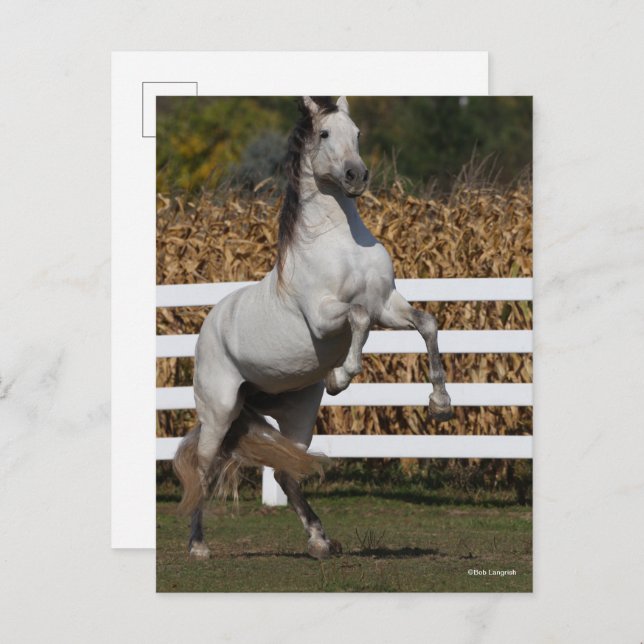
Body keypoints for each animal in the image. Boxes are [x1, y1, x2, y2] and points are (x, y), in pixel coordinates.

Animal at [173, 96, 453, 560]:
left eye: (357, 132)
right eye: (324, 133)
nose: (356, 176)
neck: (342, 242)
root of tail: (209, 324)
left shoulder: (387, 303)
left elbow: (426, 324)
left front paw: (440, 403)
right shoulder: (326, 317)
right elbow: (357, 318)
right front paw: (340, 377)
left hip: (299, 412)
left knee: (286, 474)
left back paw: (320, 541)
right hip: (218, 411)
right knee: (205, 470)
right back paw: (198, 547)